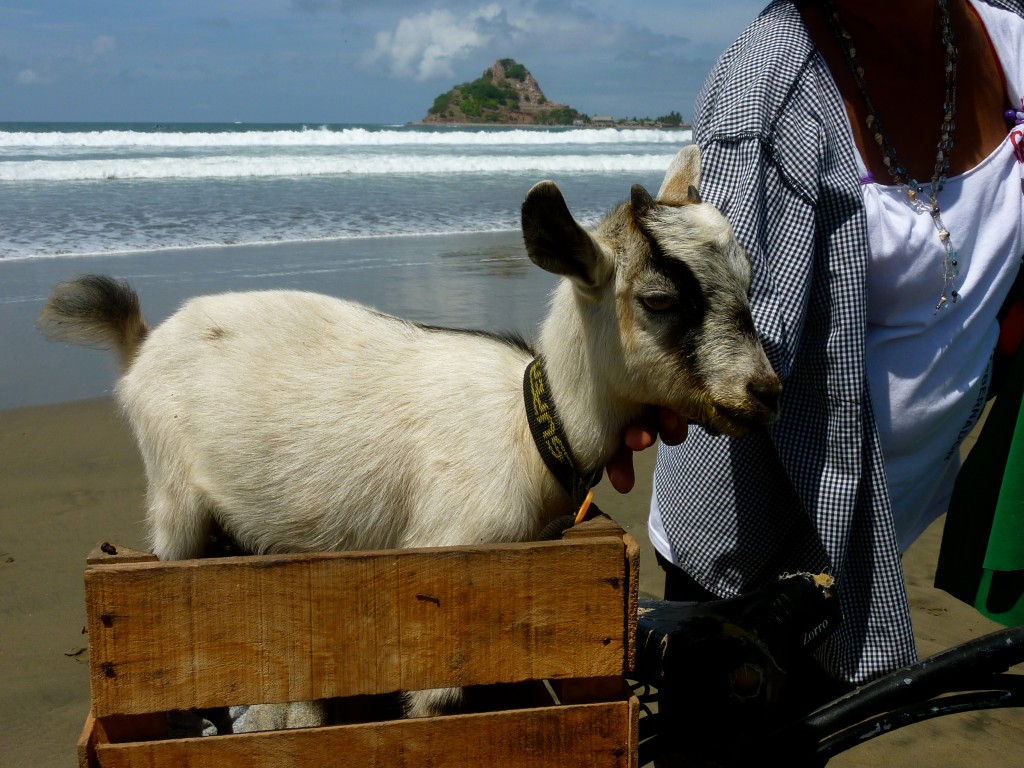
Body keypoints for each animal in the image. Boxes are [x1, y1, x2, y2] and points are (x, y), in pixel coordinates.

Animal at [37, 144, 774, 729]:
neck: (532, 429)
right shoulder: (444, 577)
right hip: (174, 501)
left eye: (746, 281)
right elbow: (430, 707)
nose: (765, 390)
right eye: (657, 300)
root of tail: (143, 344)